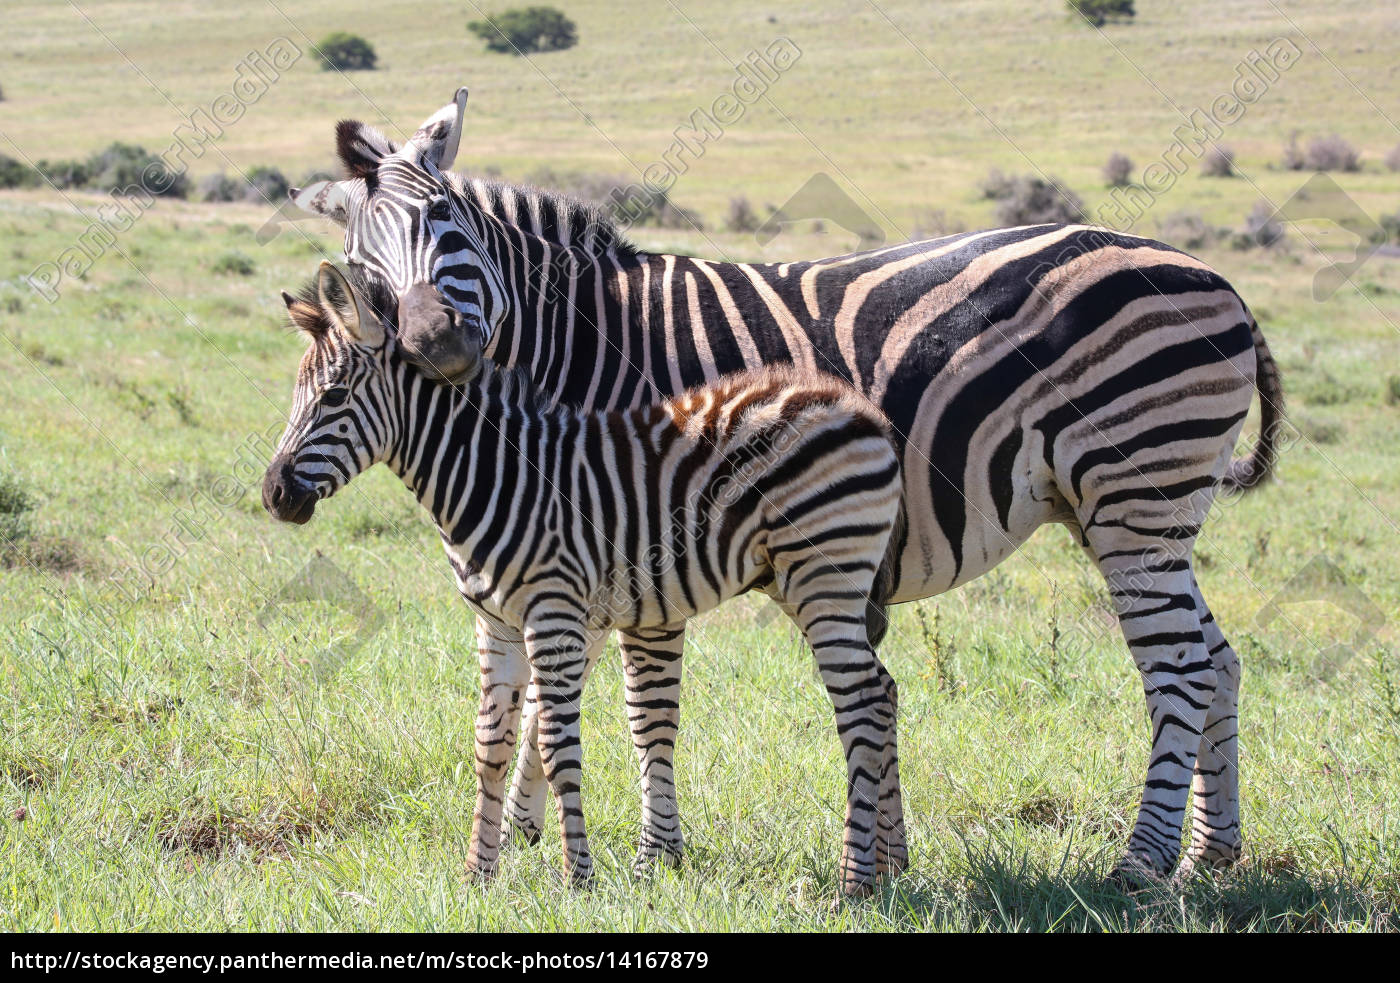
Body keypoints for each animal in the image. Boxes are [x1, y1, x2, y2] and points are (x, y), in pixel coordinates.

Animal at [264, 263, 907, 901]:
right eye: (297, 396)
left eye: (333, 396)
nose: (274, 494)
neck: (494, 474)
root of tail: (860, 409)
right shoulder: (495, 624)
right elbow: (490, 747)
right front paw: (477, 874)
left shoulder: (553, 614)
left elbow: (556, 749)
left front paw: (578, 876)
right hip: (804, 581)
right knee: (882, 691)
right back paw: (888, 866)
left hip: (824, 577)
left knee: (859, 703)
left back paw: (853, 882)